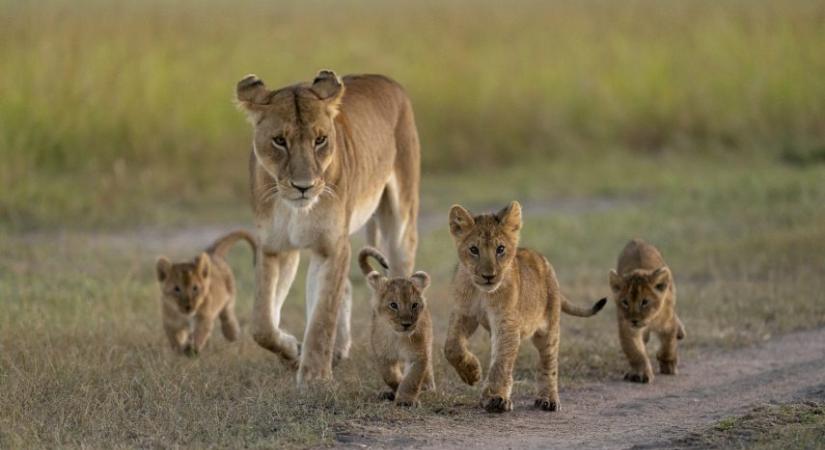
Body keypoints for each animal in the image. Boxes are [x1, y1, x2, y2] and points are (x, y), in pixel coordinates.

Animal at [237, 70, 418, 384]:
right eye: (279, 140)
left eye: (320, 139)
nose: (304, 186)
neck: (295, 209)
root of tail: (386, 80)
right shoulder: (275, 247)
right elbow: (262, 324)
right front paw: (291, 350)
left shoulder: (331, 246)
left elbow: (322, 317)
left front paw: (314, 377)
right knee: (345, 286)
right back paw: (337, 351)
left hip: (400, 223)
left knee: (402, 280)